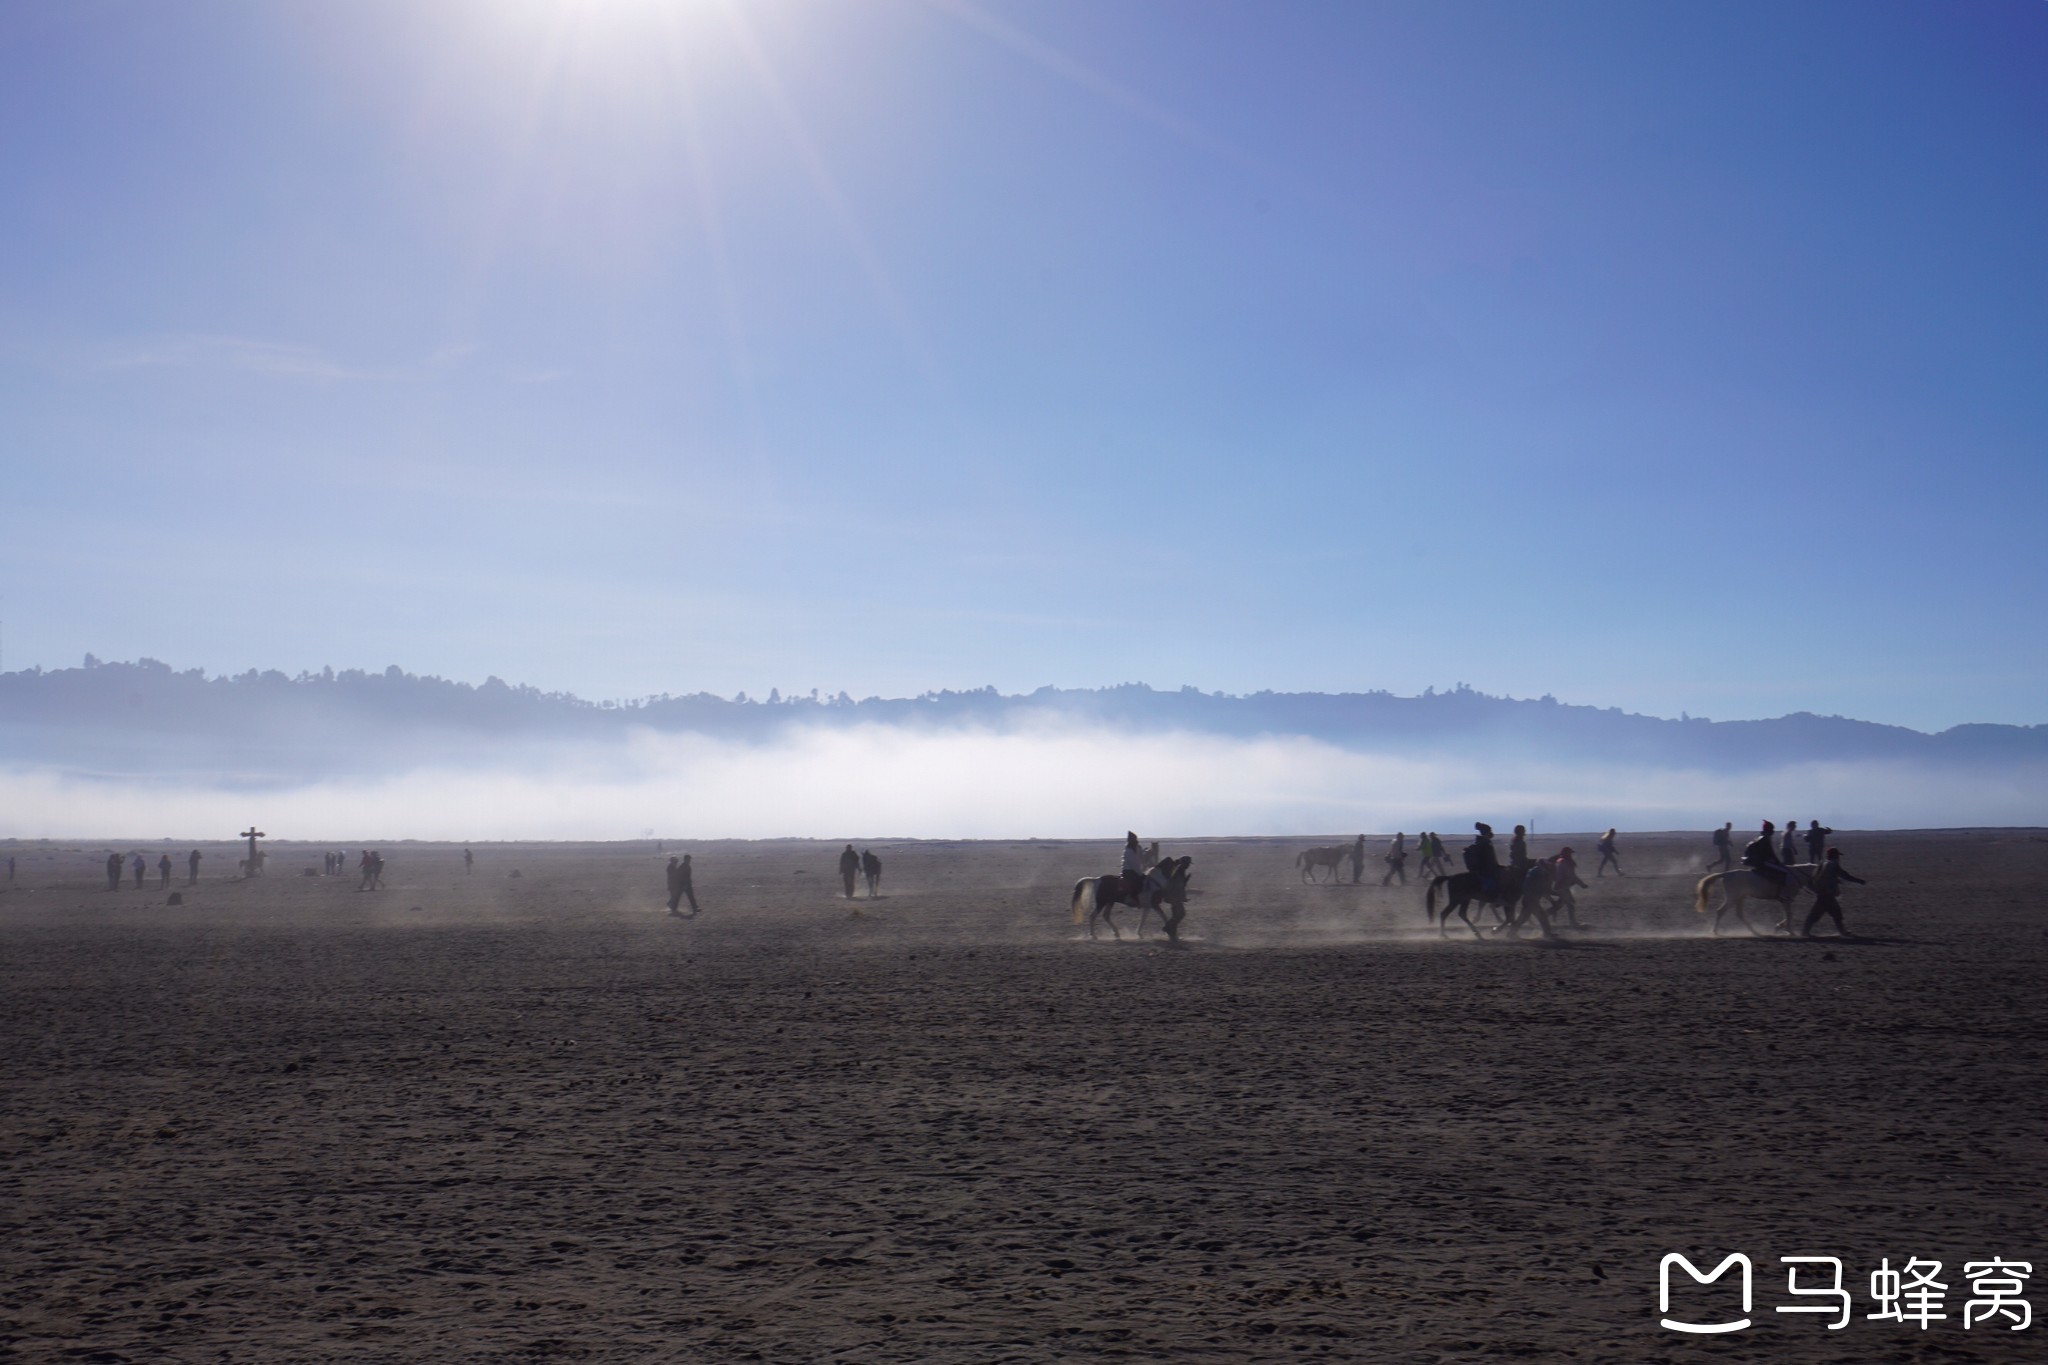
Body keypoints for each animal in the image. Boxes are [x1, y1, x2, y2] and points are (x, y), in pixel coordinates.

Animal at [1687, 871, 1818, 933]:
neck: (1793, 875)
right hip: (1733, 897)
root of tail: (1726, 874)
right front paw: (1788, 930)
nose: (1816, 892)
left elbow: (1789, 915)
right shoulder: (1786, 899)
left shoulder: (1785, 900)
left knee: (1739, 914)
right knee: (1721, 911)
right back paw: (1715, 931)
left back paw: (1753, 930)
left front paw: (1780, 927)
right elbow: (1790, 915)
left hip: (1740, 897)